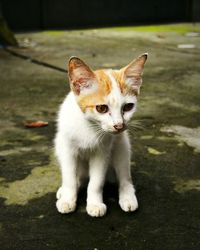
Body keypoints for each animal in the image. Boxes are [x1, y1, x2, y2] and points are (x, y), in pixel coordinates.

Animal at [54, 54, 147, 217]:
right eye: (101, 108)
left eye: (128, 107)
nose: (119, 125)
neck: (90, 127)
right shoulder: (67, 150)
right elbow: (69, 177)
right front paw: (67, 199)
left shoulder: (102, 152)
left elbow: (96, 182)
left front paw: (95, 204)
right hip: (59, 145)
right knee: (79, 176)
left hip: (122, 146)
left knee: (125, 177)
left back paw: (127, 197)